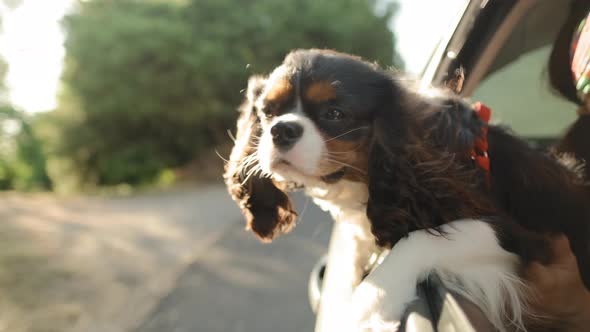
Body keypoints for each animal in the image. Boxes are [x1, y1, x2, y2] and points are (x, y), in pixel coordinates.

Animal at [224, 50, 590, 332]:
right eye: (267, 112)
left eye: (334, 114)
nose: (281, 130)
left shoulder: (525, 236)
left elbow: (420, 239)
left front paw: (369, 303)